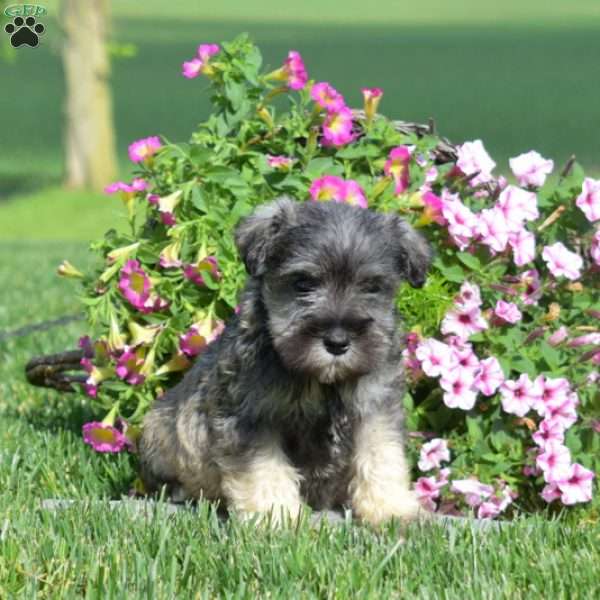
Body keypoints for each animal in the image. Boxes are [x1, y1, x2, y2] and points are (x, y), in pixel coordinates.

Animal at [141, 198, 432, 524]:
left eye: (372, 286)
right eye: (302, 283)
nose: (337, 342)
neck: (322, 380)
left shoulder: (375, 408)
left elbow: (381, 455)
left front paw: (392, 509)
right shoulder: (252, 417)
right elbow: (263, 468)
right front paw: (273, 516)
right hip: (157, 429)